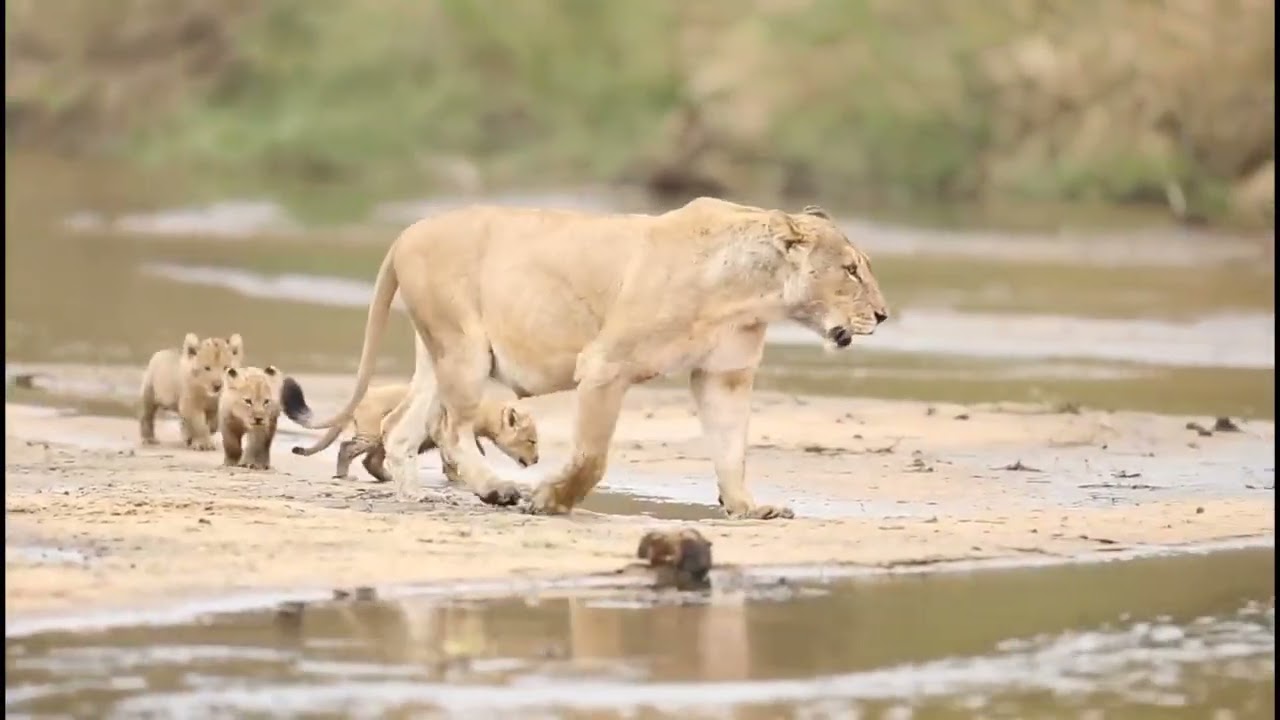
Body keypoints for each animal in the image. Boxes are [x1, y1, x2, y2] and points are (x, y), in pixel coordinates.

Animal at [278, 376, 539, 483]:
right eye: (532, 441)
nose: (537, 460)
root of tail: (361, 398)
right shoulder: (446, 431)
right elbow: (458, 455)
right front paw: (458, 477)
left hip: (382, 437)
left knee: (370, 461)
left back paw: (386, 476)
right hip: (370, 434)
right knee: (347, 447)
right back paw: (345, 475)